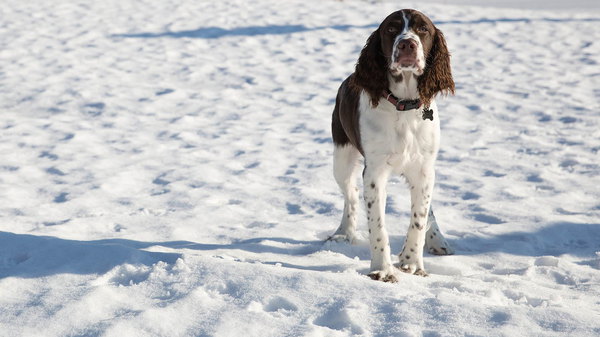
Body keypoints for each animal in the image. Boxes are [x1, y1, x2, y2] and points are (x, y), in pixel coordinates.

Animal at [332, 8, 454, 280]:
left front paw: (412, 262)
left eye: (423, 29)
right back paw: (343, 232)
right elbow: (377, 225)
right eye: (391, 29)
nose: (407, 43)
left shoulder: (423, 169)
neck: (404, 106)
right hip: (341, 158)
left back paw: (437, 239)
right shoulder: (374, 173)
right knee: (350, 195)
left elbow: (419, 218)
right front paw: (382, 270)